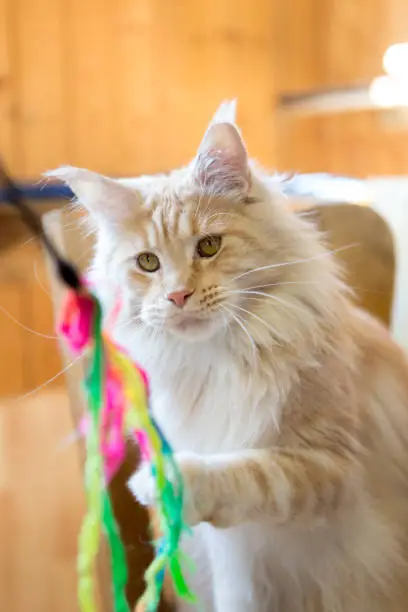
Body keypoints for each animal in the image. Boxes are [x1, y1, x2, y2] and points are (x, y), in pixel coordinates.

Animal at [48, 103, 408, 608]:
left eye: (209, 246)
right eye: (148, 263)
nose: (178, 295)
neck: (216, 362)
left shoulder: (330, 467)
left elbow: (250, 472)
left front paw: (162, 481)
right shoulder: (233, 560)